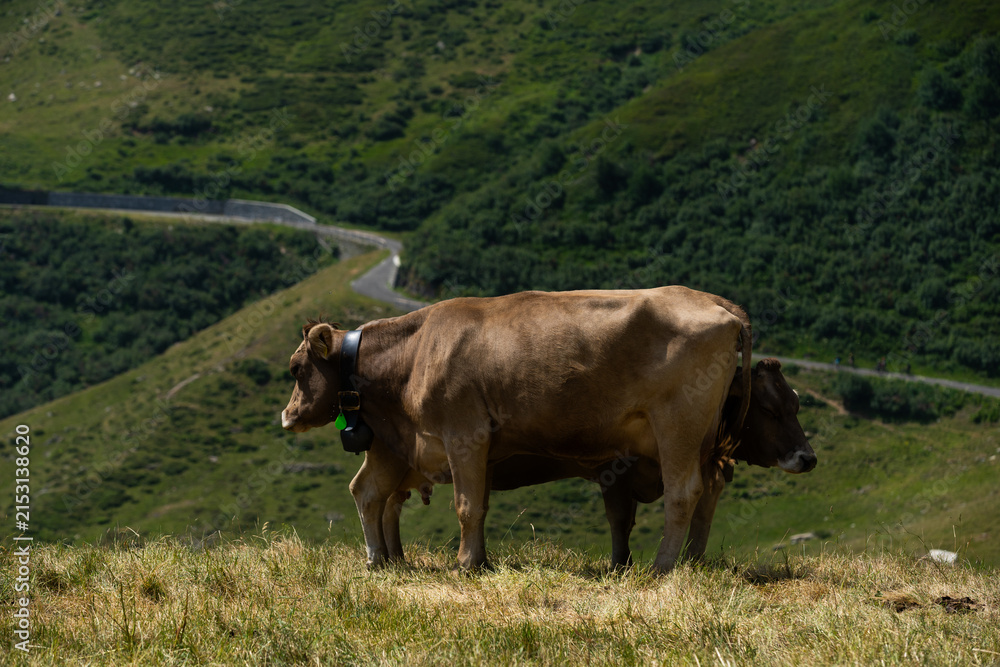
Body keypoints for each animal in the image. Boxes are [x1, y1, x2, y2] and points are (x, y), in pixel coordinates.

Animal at [283, 286, 762, 572]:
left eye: (295, 368)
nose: (287, 416)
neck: (416, 352)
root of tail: (710, 300)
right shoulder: (432, 444)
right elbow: (474, 504)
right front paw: (478, 560)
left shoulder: (464, 433)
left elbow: (466, 506)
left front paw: (466, 563)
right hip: (703, 435)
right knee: (368, 491)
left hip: (678, 422)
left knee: (683, 493)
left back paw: (662, 566)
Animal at [379, 358, 814, 568]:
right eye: (769, 409)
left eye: (796, 404)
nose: (807, 457)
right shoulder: (616, 471)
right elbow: (620, 519)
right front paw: (621, 564)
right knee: (384, 503)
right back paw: (390, 559)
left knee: (387, 504)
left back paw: (394, 557)